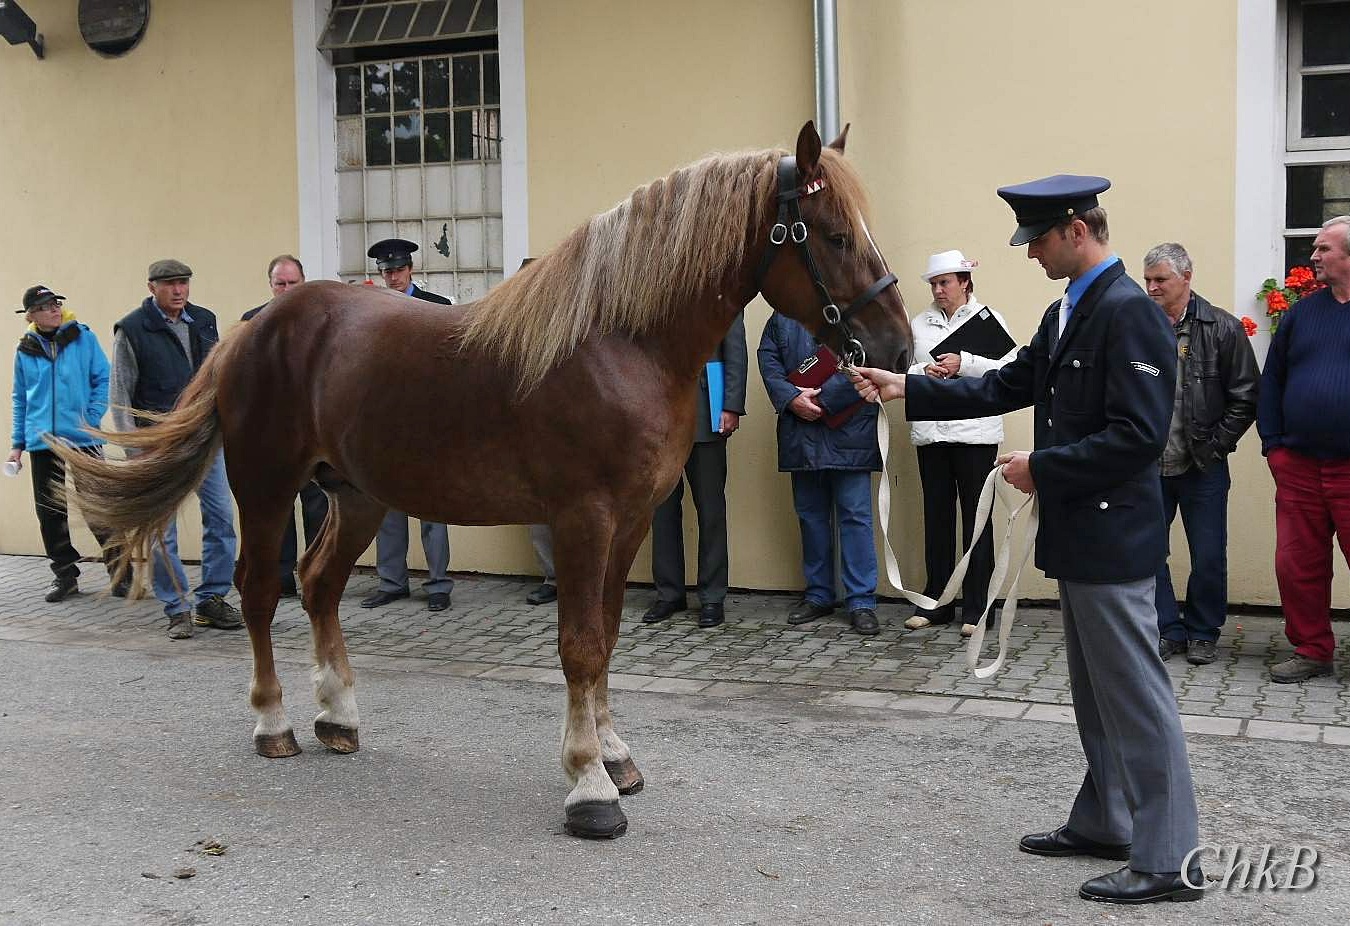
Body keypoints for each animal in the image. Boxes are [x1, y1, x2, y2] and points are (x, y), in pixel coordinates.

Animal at [58, 121, 912, 842]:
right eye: (834, 235)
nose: (897, 350)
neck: (620, 344)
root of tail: (251, 329)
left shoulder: (633, 519)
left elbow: (607, 635)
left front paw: (615, 756)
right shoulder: (582, 518)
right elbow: (580, 646)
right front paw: (589, 788)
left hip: (357, 495)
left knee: (321, 584)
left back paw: (339, 717)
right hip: (266, 486)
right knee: (263, 591)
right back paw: (275, 725)